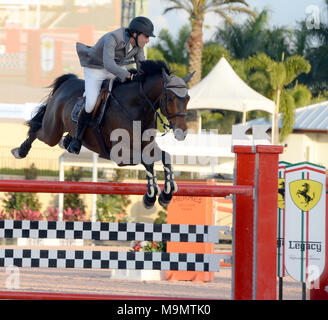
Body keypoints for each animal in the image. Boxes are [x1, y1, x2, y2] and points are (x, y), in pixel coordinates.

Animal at [11, 60, 193, 209]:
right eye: (170, 98)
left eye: (187, 98)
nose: (181, 133)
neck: (136, 108)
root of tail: (68, 81)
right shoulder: (120, 155)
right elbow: (148, 162)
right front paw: (151, 197)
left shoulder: (146, 146)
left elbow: (165, 158)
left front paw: (165, 195)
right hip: (52, 132)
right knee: (37, 130)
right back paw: (21, 150)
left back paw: (70, 142)